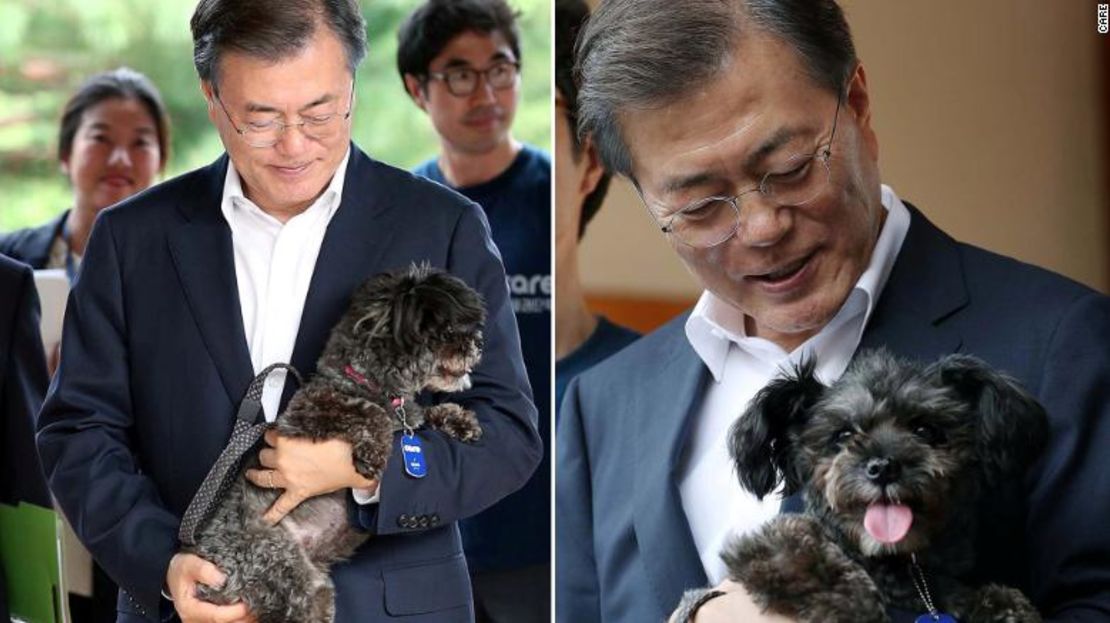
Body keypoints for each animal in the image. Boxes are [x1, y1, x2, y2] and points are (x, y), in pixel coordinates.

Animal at [674, 350, 1047, 621]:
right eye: (843, 435)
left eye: (925, 430)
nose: (882, 468)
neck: (899, 566)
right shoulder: (756, 550)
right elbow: (793, 542)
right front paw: (850, 600)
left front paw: (1000, 605)